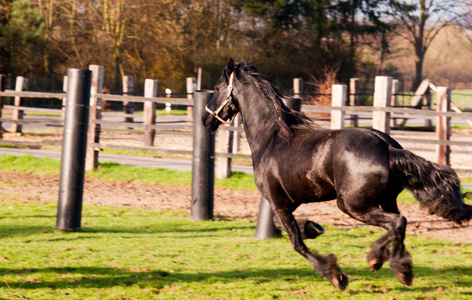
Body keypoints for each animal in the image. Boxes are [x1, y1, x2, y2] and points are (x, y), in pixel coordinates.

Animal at [201, 58, 470, 290]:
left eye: (217, 87)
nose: (205, 118)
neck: (271, 139)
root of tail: (388, 148)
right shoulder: (290, 202)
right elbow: (290, 229)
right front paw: (314, 228)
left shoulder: (278, 203)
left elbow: (296, 243)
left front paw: (336, 276)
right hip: (383, 200)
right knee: (397, 224)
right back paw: (383, 261)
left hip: (351, 205)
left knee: (397, 222)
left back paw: (392, 267)